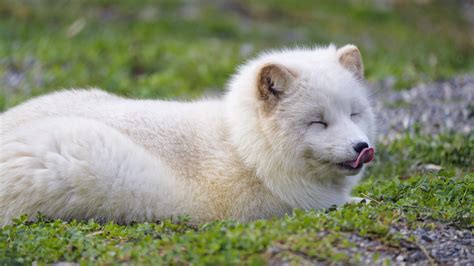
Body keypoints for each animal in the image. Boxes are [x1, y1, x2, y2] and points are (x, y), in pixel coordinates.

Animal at [0, 44, 374, 225]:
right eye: (318, 122)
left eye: (354, 114)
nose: (362, 147)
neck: (244, 148)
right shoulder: (273, 209)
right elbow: (329, 205)